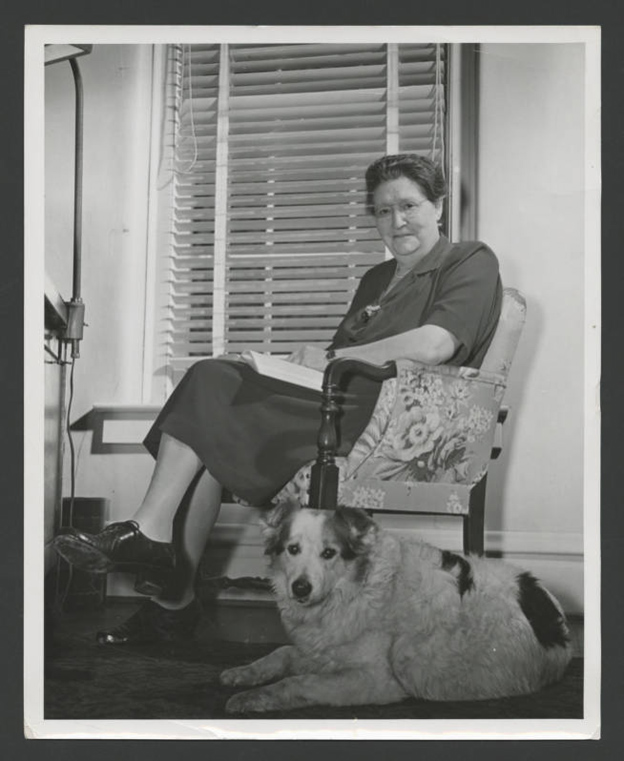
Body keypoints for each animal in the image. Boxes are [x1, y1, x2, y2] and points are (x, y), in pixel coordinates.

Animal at [218, 502, 572, 708]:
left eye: (329, 553)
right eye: (292, 549)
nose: (300, 588)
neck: (355, 588)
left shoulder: (376, 680)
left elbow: (299, 682)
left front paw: (254, 698)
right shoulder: (322, 651)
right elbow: (282, 653)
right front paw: (244, 673)